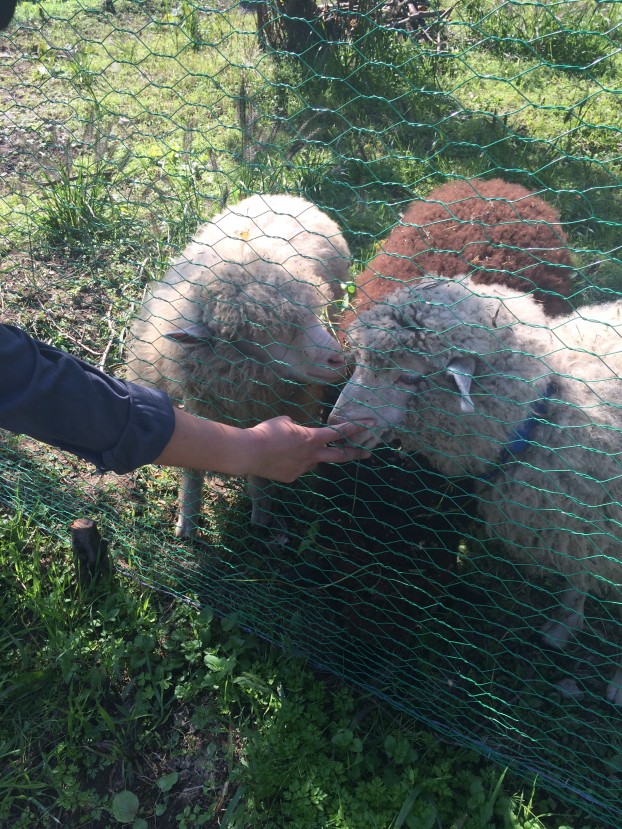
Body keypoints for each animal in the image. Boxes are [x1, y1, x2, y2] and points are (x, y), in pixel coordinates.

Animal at [126, 192, 352, 536]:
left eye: (313, 312)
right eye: (259, 334)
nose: (339, 358)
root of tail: (284, 194)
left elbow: (262, 469)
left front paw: (261, 516)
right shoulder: (198, 406)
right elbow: (192, 467)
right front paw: (187, 521)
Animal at [332, 274, 622, 700]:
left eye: (410, 376)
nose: (336, 427)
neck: (548, 410)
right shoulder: (579, 524)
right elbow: (577, 573)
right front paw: (563, 626)